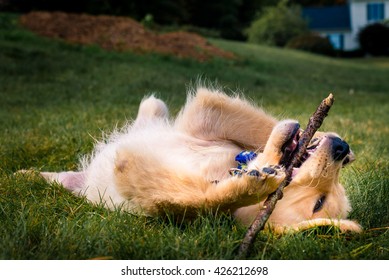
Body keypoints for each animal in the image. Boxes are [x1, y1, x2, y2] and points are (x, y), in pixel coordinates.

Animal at [36, 88, 360, 234]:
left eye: (320, 202)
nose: (341, 148)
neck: (225, 168)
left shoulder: (135, 178)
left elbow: (202, 200)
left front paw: (252, 182)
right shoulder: (208, 112)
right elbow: (259, 126)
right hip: (155, 108)